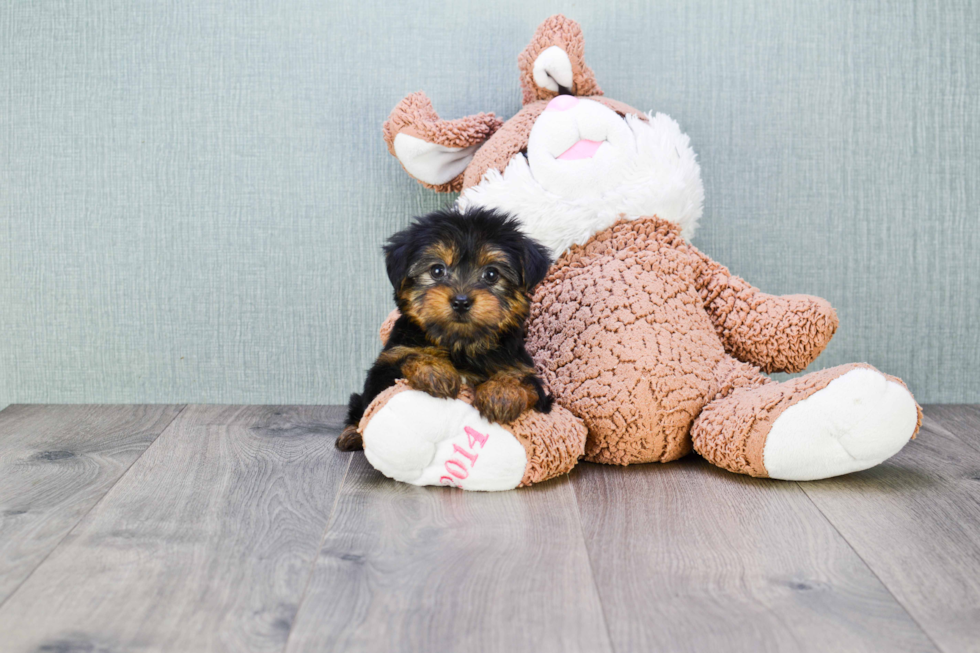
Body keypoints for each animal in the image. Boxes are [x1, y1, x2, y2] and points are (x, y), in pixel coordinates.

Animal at [334, 206, 552, 450]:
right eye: (437, 270)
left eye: (492, 274)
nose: (461, 301)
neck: (460, 344)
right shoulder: (385, 368)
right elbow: (405, 359)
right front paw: (434, 368)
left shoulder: (525, 372)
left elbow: (523, 381)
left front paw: (502, 392)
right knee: (358, 408)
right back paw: (351, 434)